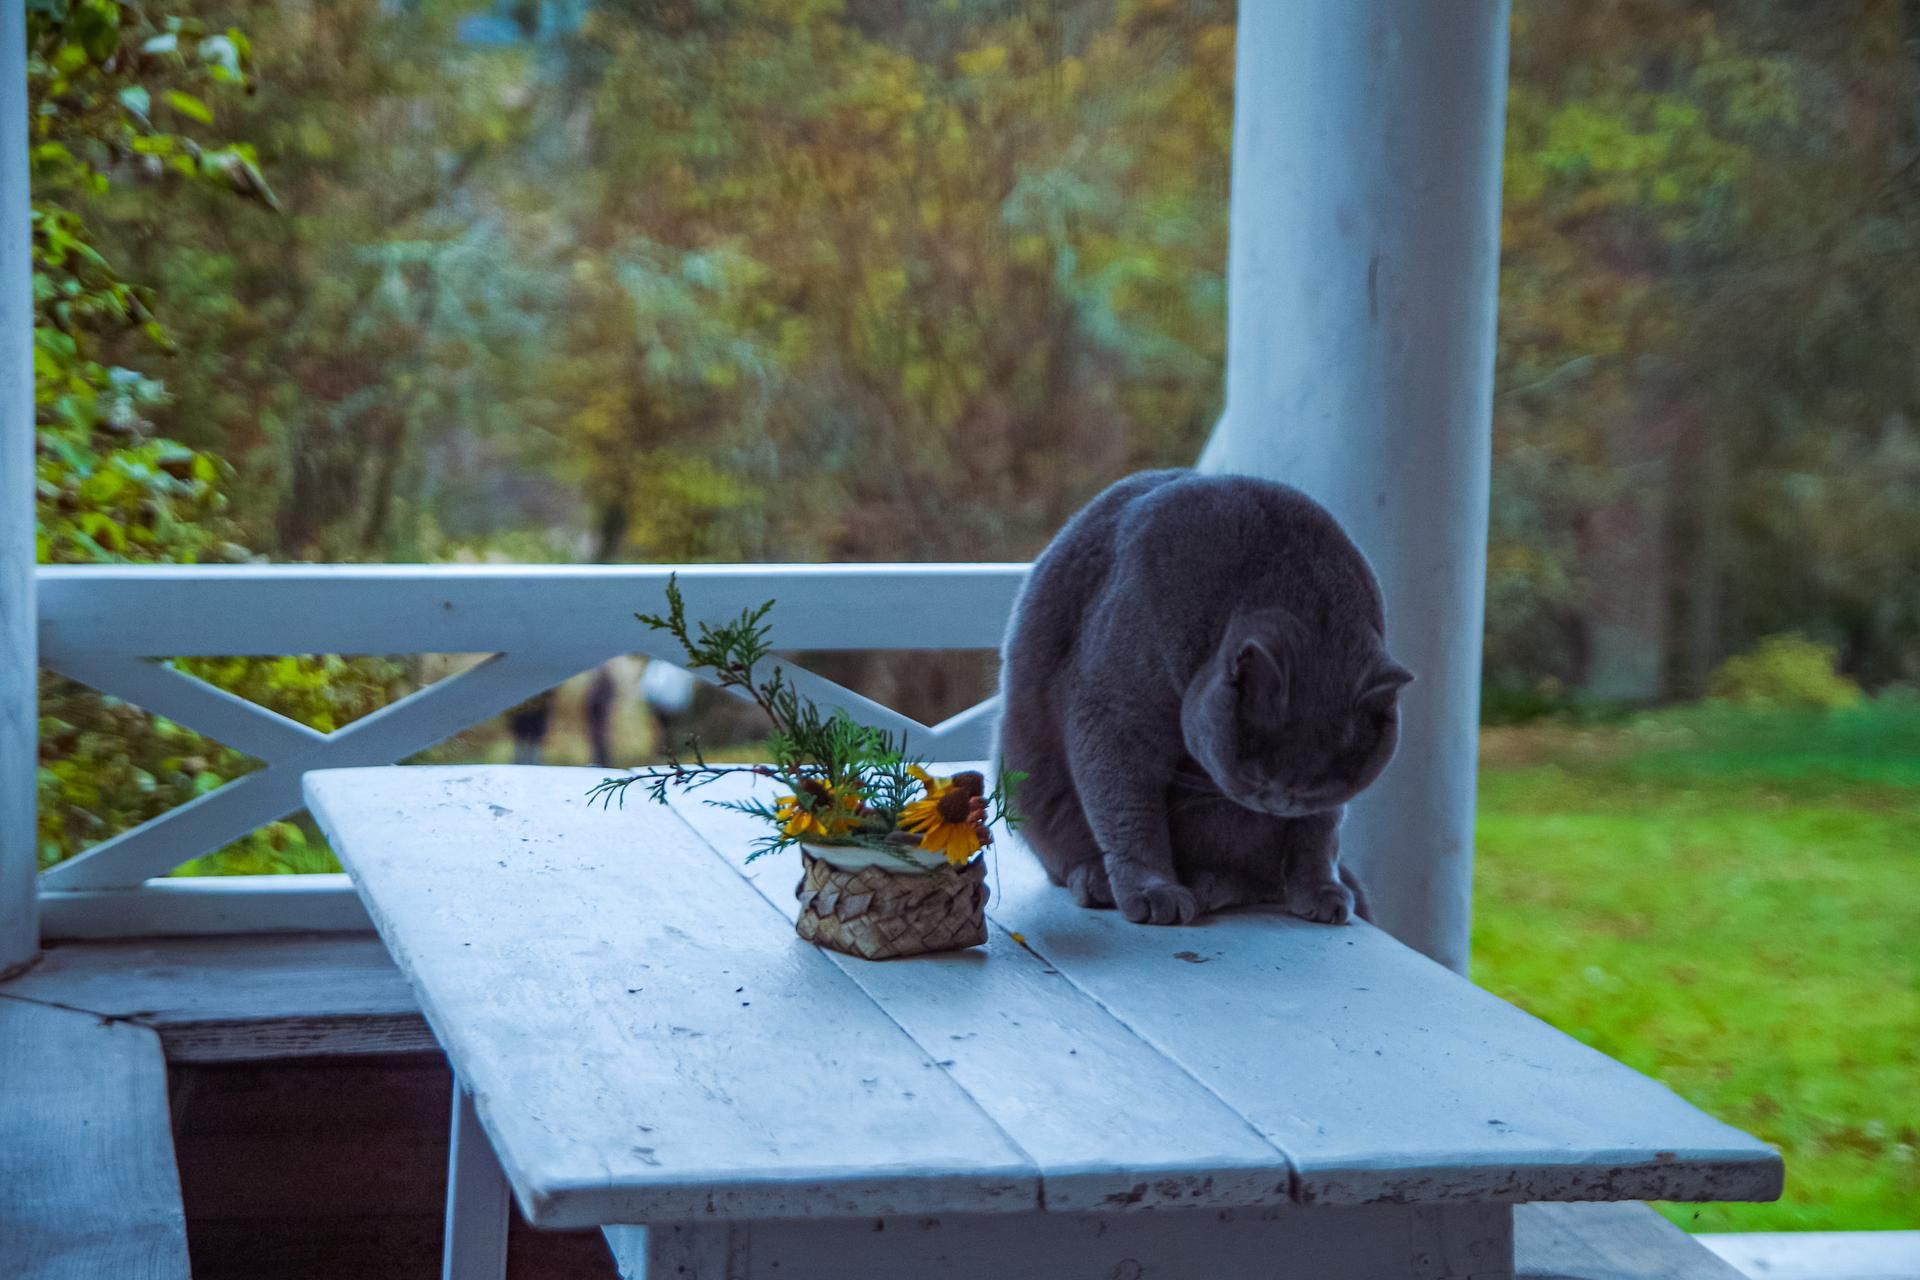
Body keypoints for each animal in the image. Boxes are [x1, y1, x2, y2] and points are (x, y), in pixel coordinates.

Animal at [1006, 468, 1413, 921]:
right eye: (1255, 774)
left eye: (1317, 785)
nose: (1280, 802)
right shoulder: (1114, 712)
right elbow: (1128, 810)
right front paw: (1154, 891)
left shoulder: (1325, 803)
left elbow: (1320, 830)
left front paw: (1321, 890)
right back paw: (1101, 880)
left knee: (1257, 879)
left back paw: (1214, 886)